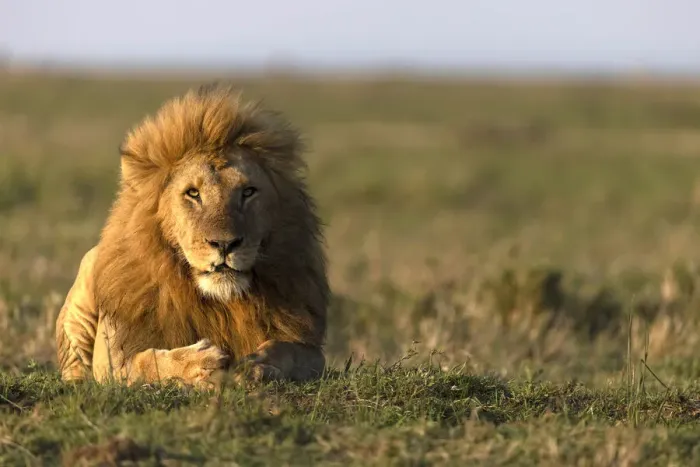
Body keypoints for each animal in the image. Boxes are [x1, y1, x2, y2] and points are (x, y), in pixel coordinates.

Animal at [55, 83, 329, 389]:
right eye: (193, 193)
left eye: (248, 192)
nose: (225, 244)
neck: (218, 303)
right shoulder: (112, 357)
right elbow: (144, 363)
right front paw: (199, 364)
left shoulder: (311, 350)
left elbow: (286, 349)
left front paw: (256, 365)